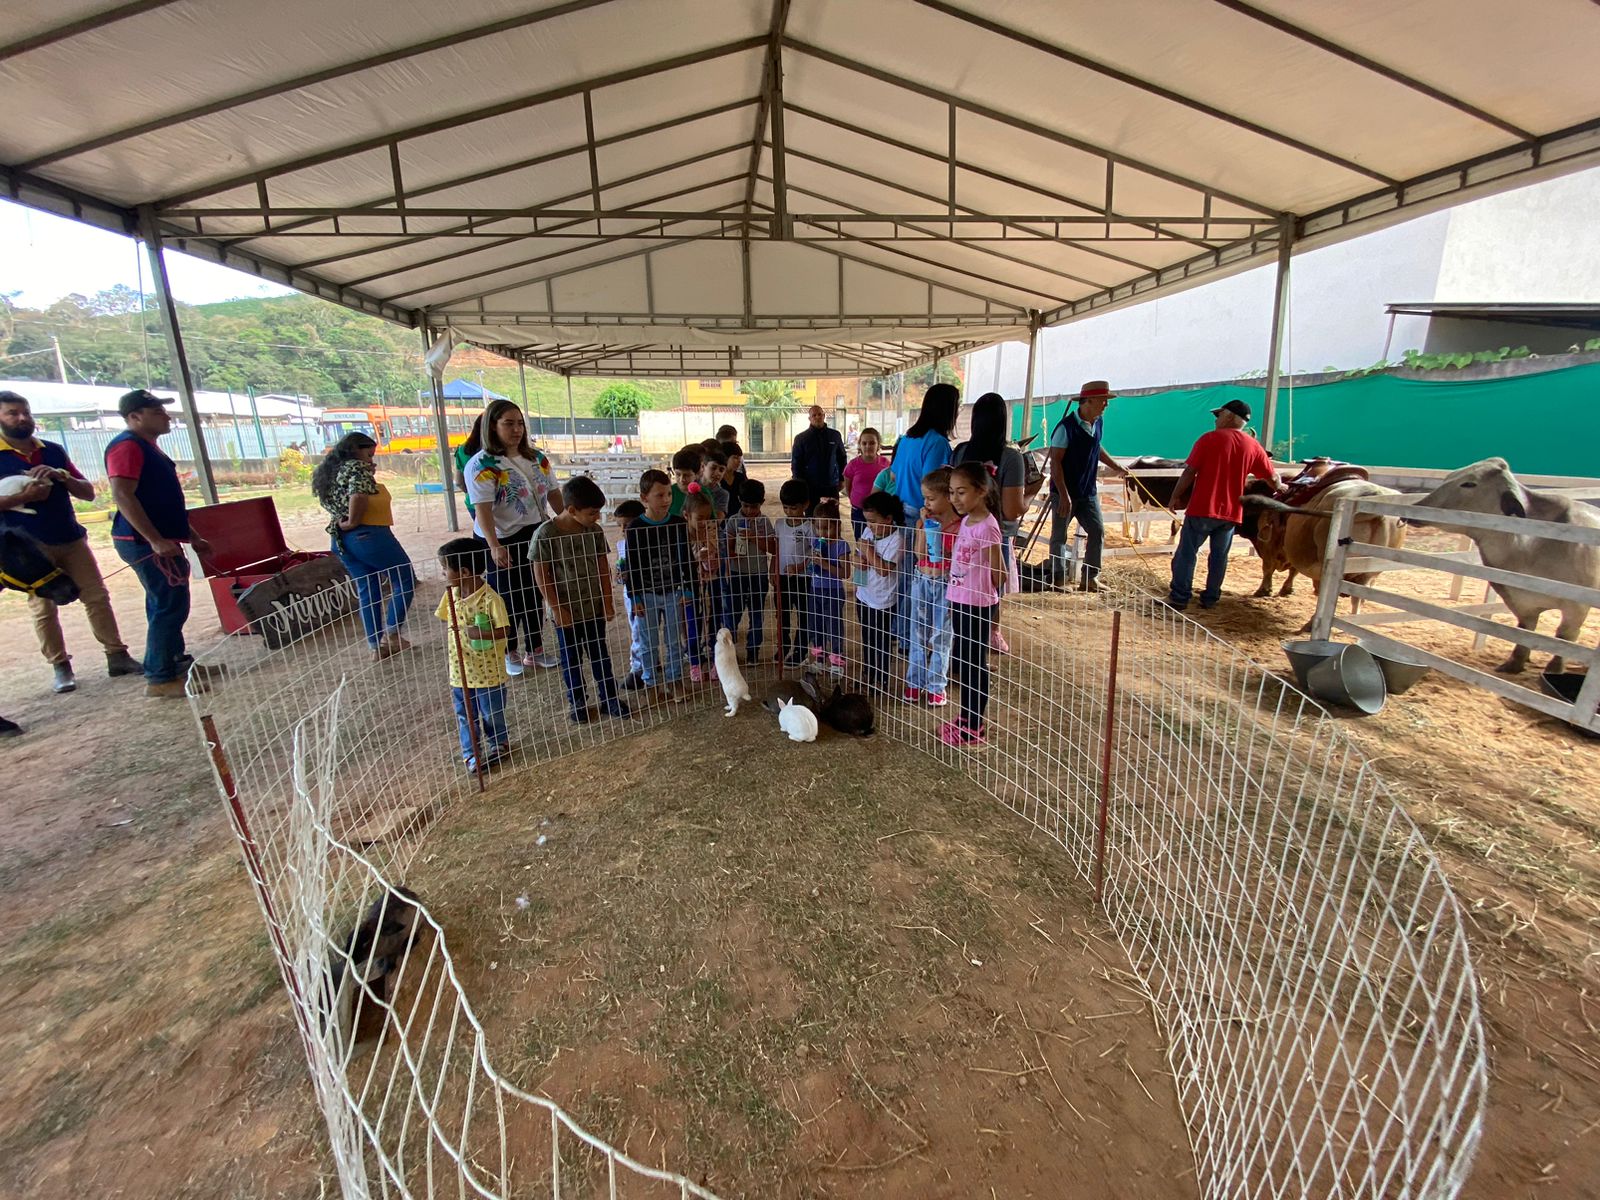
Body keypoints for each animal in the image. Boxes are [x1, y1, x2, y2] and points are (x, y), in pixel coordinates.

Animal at [1414, 457, 1600, 672]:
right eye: (1448, 476)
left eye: (1470, 483)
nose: (1418, 507)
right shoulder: (1519, 601)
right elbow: (1525, 631)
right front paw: (1514, 664)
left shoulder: (1577, 605)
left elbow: (1565, 637)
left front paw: (1554, 669)